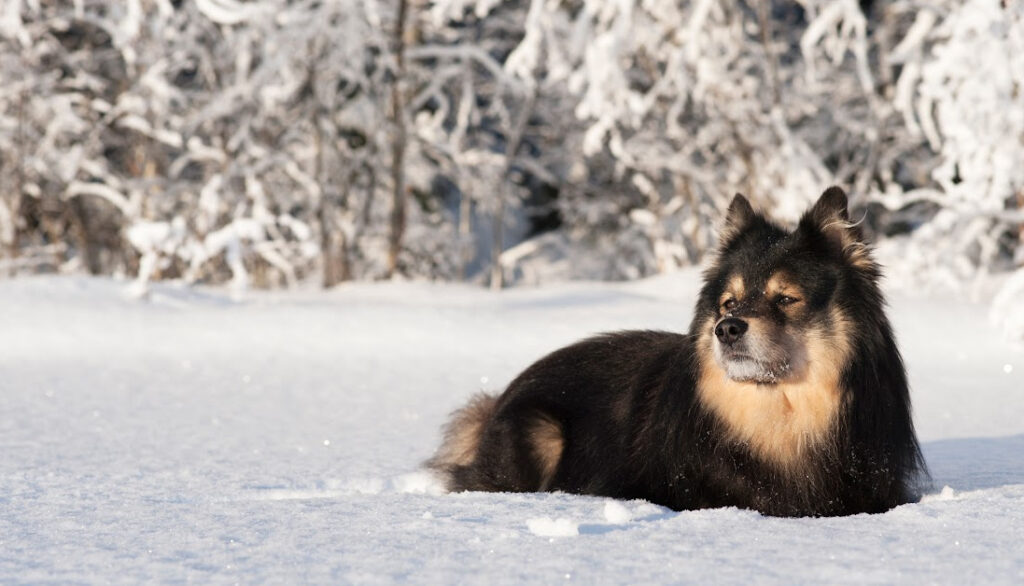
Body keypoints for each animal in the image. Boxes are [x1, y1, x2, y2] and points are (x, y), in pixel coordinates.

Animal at [423, 187, 929, 516]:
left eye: (786, 298)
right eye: (728, 303)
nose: (727, 329)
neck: (780, 421)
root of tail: (496, 402)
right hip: (540, 429)